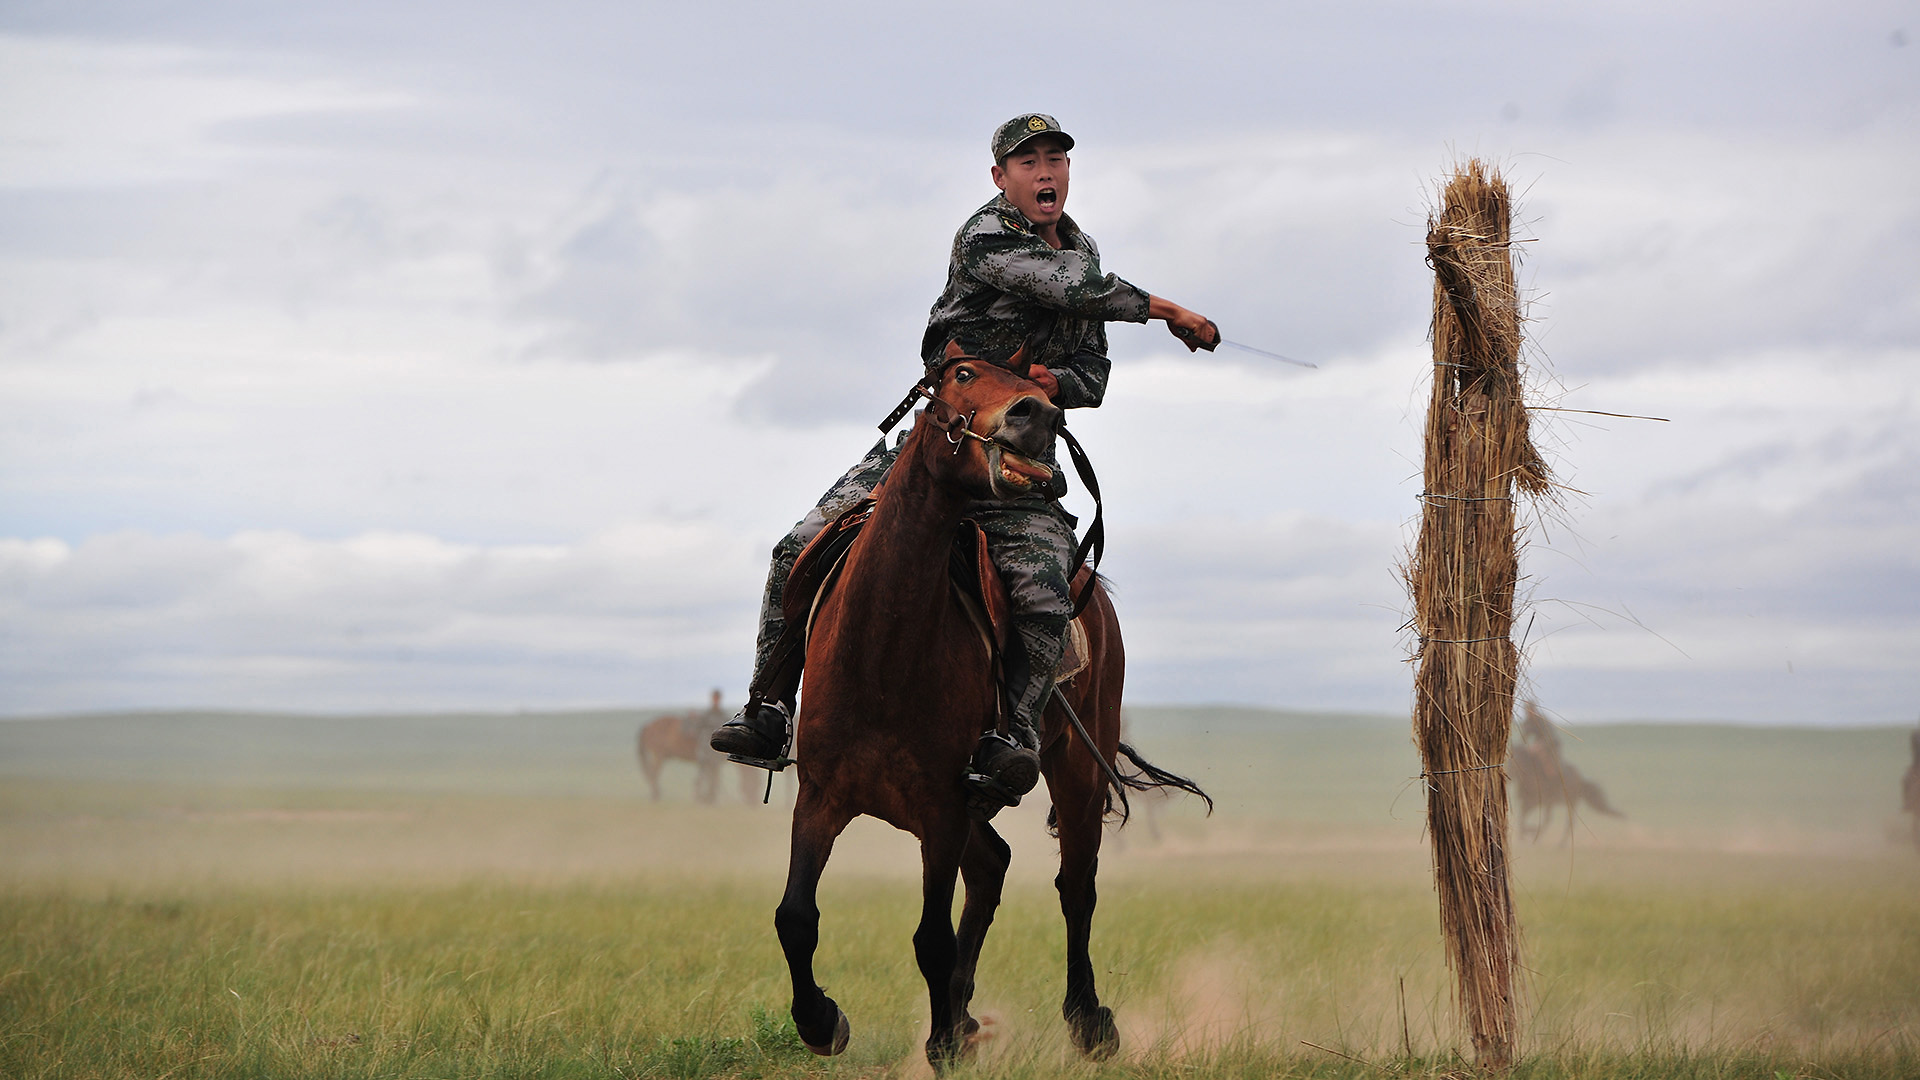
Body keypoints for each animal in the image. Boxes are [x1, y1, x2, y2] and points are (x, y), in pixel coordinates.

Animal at [764, 357, 1198, 1060]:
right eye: (962, 372)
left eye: (1047, 393)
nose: (1037, 416)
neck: (883, 649)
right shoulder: (821, 797)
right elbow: (796, 917)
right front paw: (822, 1021)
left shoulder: (941, 810)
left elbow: (931, 941)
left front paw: (941, 1043)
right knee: (993, 867)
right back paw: (967, 1015)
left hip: (1077, 771)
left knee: (1076, 887)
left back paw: (1087, 1020)